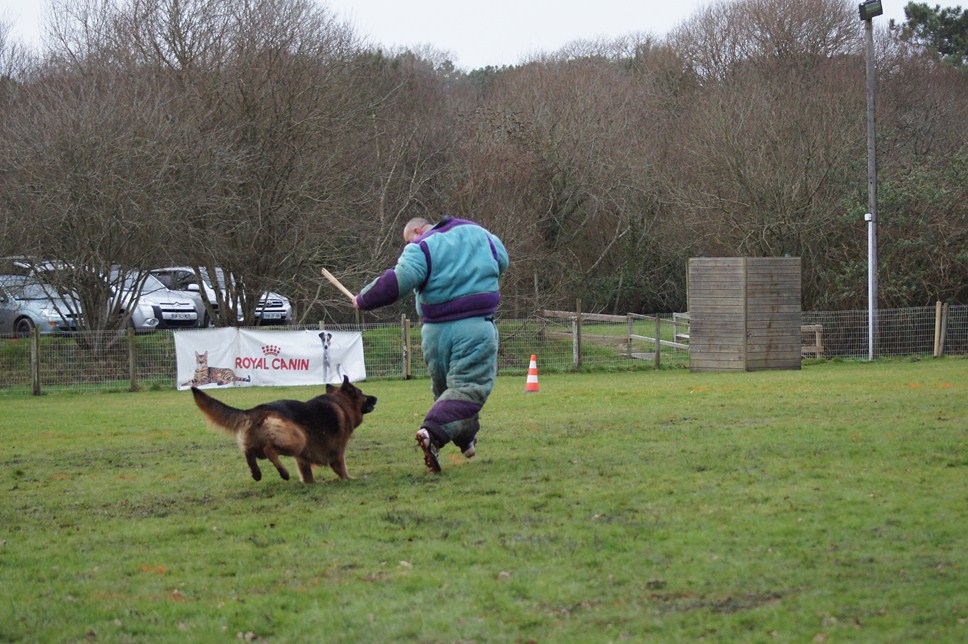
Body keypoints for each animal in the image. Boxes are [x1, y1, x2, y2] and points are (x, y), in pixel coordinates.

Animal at [191, 378, 376, 484]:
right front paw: (350, 479)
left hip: (259, 445)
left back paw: (256, 473)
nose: (376, 398)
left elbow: (307, 475)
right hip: (297, 440)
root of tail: (259, 409)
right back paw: (283, 472)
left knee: (248, 452)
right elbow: (342, 468)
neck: (340, 403)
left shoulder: (303, 459)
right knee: (269, 450)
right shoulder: (337, 452)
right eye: (361, 393)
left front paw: (310, 485)